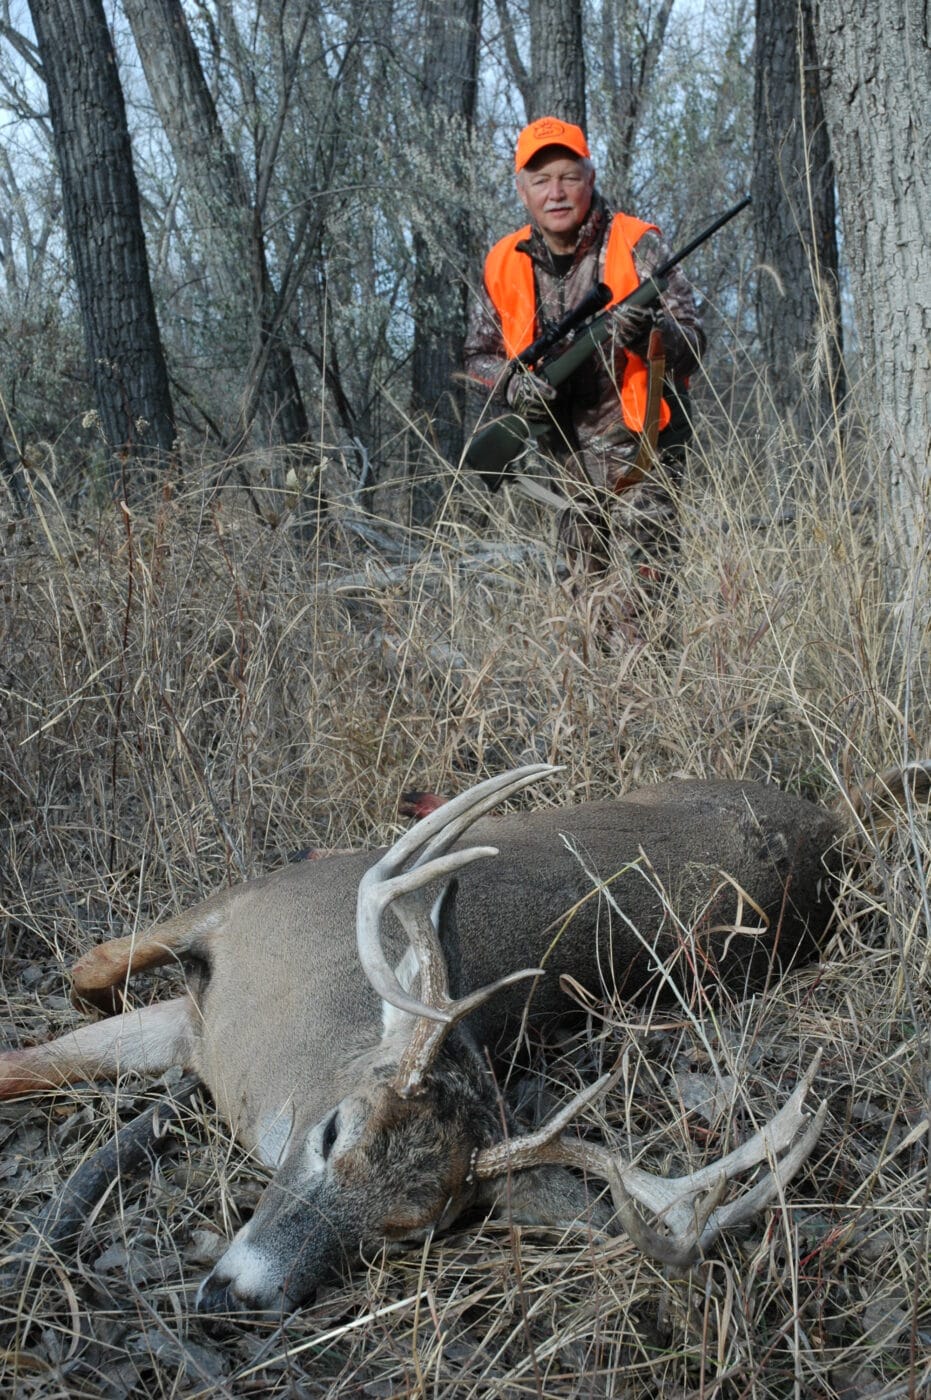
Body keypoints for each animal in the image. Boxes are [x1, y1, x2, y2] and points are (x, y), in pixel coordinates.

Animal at [0, 761, 924, 1304]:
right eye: (331, 1133)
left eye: (410, 1232)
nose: (240, 1295)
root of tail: (834, 827)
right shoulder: (234, 914)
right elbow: (82, 980)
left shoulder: (196, 1025)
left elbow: (35, 1055)